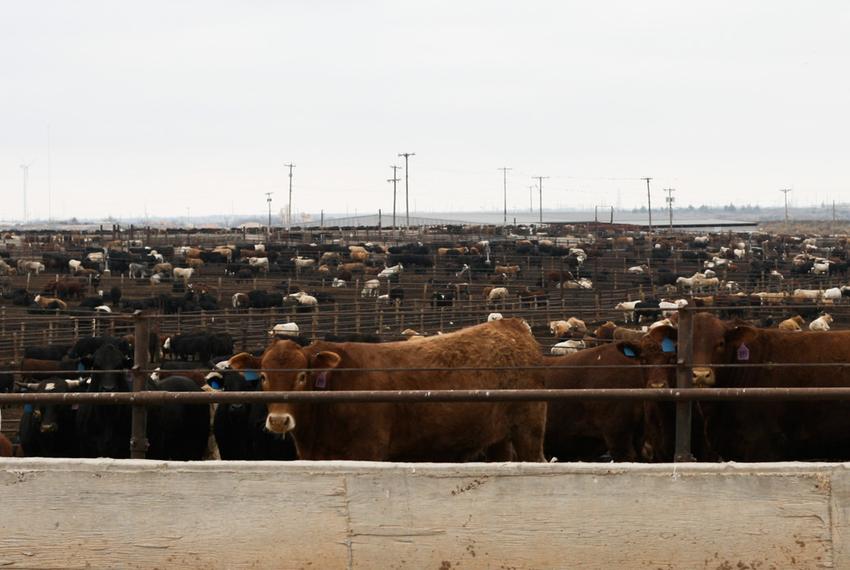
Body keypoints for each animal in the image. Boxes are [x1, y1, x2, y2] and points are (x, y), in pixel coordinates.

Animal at [227, 320, 544, 462]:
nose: (279, 420)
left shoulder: (368, 451)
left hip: (529, 431)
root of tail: (511, 326)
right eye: (263, 376)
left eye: (303, 375)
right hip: (497, 439)